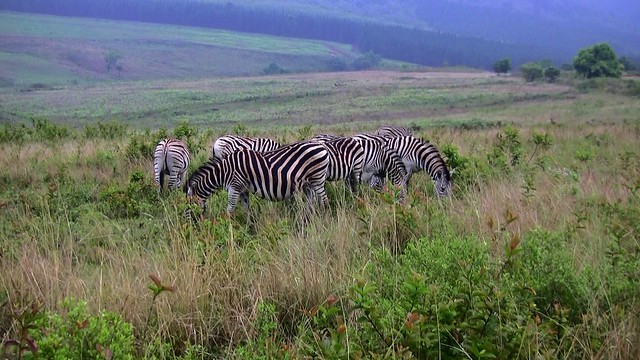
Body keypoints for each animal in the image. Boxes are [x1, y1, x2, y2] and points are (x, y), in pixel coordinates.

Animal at [182, 140, 328, 217]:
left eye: (188, 206)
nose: (187, 226)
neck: (223, 172)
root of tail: (321, 146)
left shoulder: (234, 186)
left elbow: (230, 210)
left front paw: (229, 231)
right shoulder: (243, 190)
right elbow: (247, 209)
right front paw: (249, 228)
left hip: (317, 180)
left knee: (324, 200)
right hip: (308, 184)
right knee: (311, 202)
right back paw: (307, 220)